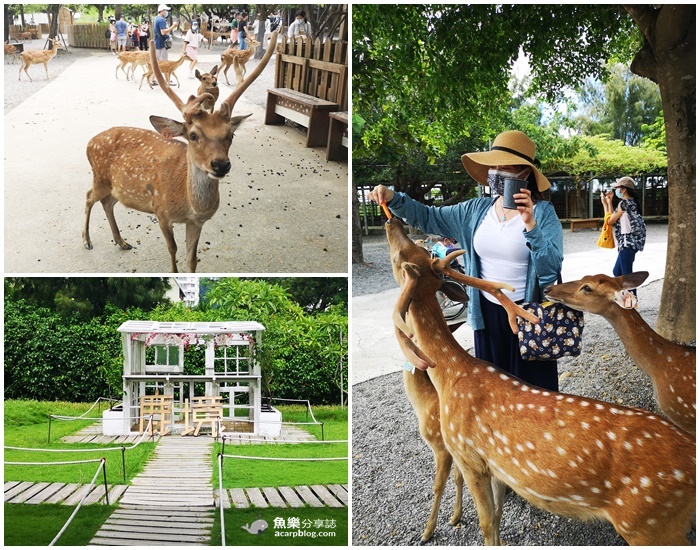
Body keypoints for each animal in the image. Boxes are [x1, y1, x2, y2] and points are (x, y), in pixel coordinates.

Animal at [82, 33, 279, 273]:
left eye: (231, 135)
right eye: (193, 135)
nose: (220, 164)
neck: (190, 206)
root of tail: (90, 142)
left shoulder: (197, 222)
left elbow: (192, 258)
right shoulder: (161, 212)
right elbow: (172, 249)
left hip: (114, 186)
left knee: (107, 202)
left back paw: (122, 242)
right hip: (100, 177)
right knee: (88, 197)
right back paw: (87, 241)